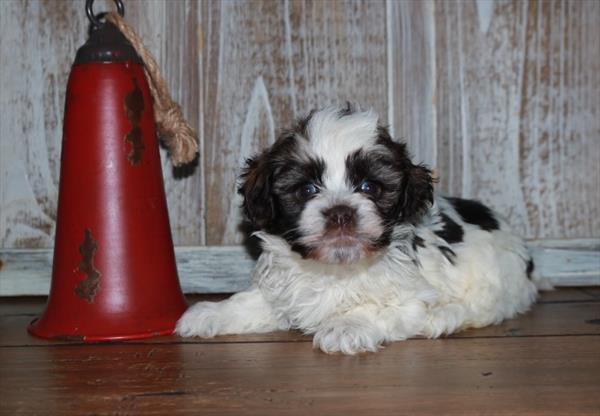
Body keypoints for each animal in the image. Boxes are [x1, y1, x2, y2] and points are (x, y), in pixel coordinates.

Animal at [176, 105, 540, 354]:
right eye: (306, 189)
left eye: (369, 187)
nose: (341, 213)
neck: (336, 269)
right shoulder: (284, 291)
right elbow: (252, 301)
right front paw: (212, 313)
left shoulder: (410, 298)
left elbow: (382, 307)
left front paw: (347, 324)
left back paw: (445, 317)